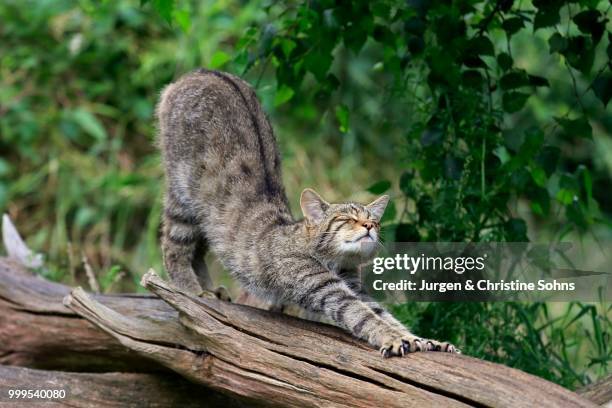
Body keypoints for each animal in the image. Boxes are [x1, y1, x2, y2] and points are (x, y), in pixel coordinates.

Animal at [155, 68, 456, 356]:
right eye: (347, 219)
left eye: (374, 221)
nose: (369, 227)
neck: (336, 262)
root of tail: (201, 73)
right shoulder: (327, 288)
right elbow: (364, 316)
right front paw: (393, 338)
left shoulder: (355, 287)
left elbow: (385, 315)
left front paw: (424, 340)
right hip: (183, 197)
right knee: (173, 248)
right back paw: (192, 291)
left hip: (206, 219)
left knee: (197, 251)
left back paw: (209, 289)